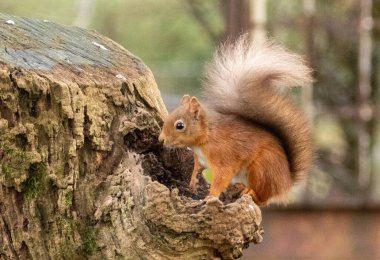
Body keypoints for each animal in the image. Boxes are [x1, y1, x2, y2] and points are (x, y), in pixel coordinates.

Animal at [159, 36, 314, 206]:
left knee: (263, 199)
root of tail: (286, 182)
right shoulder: (201, 159)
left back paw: (250, 192)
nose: (161, 139)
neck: (205, 137)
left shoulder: (225, 157)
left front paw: (211, 196)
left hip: (261, 169)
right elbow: (197, 168)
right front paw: (193, 180)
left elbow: (221, 177)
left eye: (179, 125)